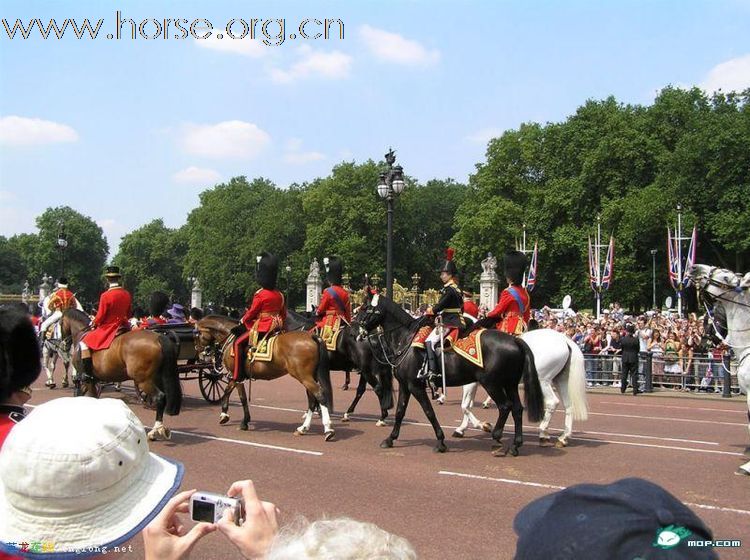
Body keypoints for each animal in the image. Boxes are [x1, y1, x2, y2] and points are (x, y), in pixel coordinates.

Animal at [62, 308, 182, 440]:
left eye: (59, 323)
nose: (63, 344)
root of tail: (159, 337)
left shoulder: (88, 379)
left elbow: (90, 396)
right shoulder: (91, 379)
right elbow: (83, 395)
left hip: (143, 380)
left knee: (159, 397)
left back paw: (155, 430)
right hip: (157, 378)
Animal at [195, 318, 336, 440]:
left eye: (197, 335)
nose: (200, 353)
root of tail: (312, 336)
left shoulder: (236, 376)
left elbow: (239, 396)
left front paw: (236, 419)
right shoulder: (236, 377)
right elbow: (229, 391)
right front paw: (229, 415)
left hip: (304, 376)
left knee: (319, 395)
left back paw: (328, 429)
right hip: (308, 377)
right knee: (312, 399)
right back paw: (303, 428)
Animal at [360, 294, 544, 456]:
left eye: (365, 308)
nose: (359, 332)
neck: (405, 339)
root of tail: (515, 340)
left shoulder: (415, 386)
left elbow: (429, 412)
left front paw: (441, 442)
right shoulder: (405, 385)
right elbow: (399, 412)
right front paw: (390, 439)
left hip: (491, 383)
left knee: (505, 406)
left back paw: (497, 437)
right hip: (509, 384)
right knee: (517, 409)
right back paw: (515, 445)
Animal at [456, 328, 592, 446]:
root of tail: (565, 340)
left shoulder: (472, 383)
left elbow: (464, 406)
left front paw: (481, 425)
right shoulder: (476, 382)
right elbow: (468, 405)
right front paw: (461, 428)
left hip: (542, 380)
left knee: (552, 402)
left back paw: (543, 432)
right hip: (560, 380)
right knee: (568, 405)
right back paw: (564, 437)